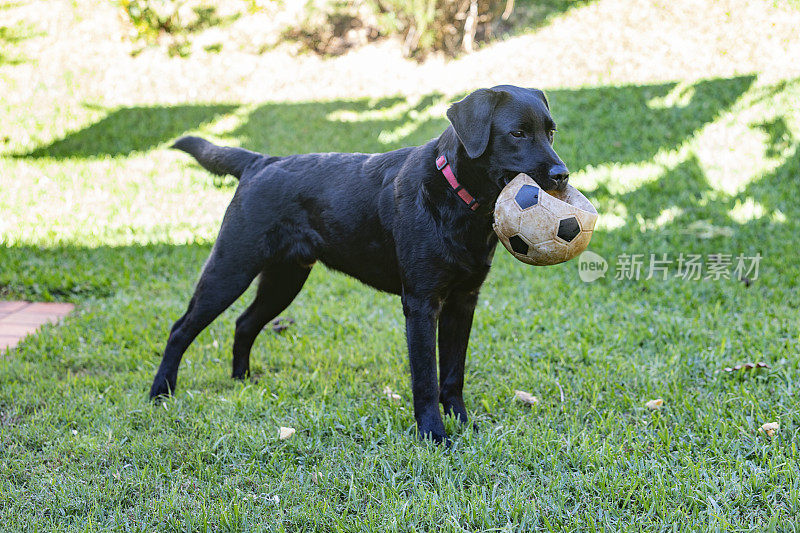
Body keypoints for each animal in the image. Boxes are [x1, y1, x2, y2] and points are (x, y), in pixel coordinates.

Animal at [150, 85, 568, 442]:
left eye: (550, 132)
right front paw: (434, 435)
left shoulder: (463, 301)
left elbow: (453, 374)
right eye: (517, 133)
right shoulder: (421, 304)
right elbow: (426, 379)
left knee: (244, 323)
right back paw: (161, 393)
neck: (458, 198)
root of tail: (261, 162)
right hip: (231, 268)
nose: (562, 175)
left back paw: (242, 380)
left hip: (284, 279)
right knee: (181, 328)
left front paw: (463, 423)